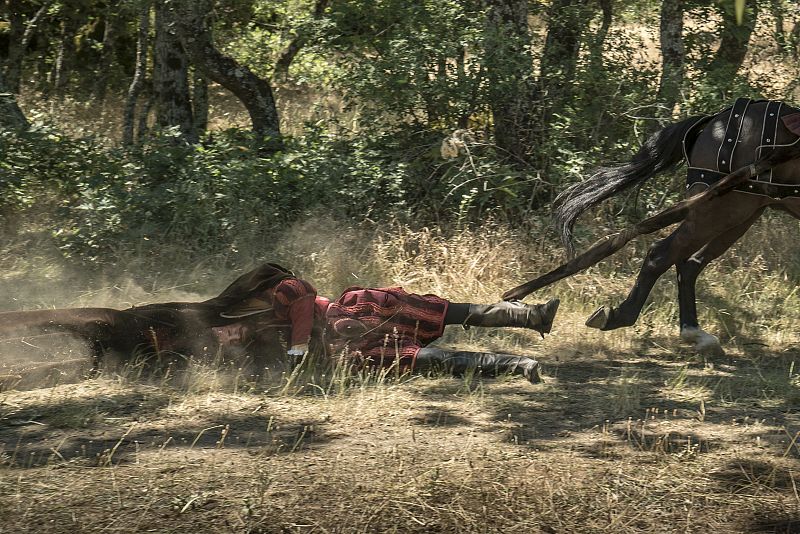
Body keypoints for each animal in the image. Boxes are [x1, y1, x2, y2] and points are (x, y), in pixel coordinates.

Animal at [503, 98, 800, 354]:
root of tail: (716, 120)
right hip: (721, 209)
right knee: (663, 254)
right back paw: (620, 316)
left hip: (738, 214)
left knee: (688, 262)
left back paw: (694, 332)